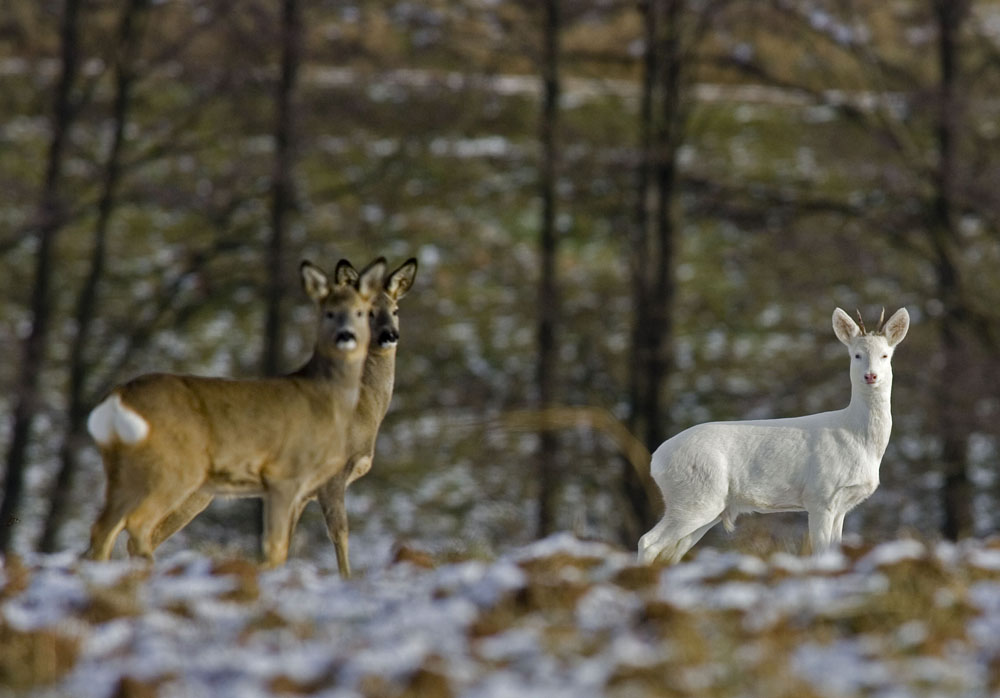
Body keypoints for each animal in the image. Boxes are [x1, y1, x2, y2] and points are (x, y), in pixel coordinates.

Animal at [85, 256, 386, 564]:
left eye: (362, 312)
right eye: (329, 313)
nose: (346, 336)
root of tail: (117, 396)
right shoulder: (288, 474)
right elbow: (280, 544)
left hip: (127, 472)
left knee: (105, 528)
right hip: (172, 470)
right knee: (136, 526)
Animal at [640, 308, 908, 564]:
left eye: (885, 355)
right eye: (856, 355)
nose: (871, 376)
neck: (856, 436)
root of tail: (655, 460)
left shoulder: (841, 505)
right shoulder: (820, 496)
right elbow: (820, 553)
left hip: (707, 505)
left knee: (670, 552)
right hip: (694, 496)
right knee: (648, 542)